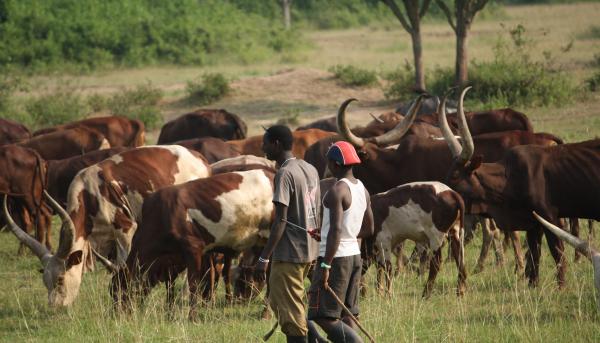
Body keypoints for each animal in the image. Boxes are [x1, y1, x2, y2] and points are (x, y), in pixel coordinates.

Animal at [110, 169, 274, 320]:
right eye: (112, 292)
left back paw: (265, 313)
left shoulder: (193, 247)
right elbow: (175, 285)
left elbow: (193, 283)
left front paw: (192, 317)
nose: (116, 315)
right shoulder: (173, 261)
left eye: (119, 289)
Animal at [438, 86, 600, 288]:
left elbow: (557, 253)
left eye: (455, 176)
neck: (510, 178)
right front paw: (532, 284)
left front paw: (561, 286)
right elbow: (535, 254)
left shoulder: (550, 217)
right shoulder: (532, 223)